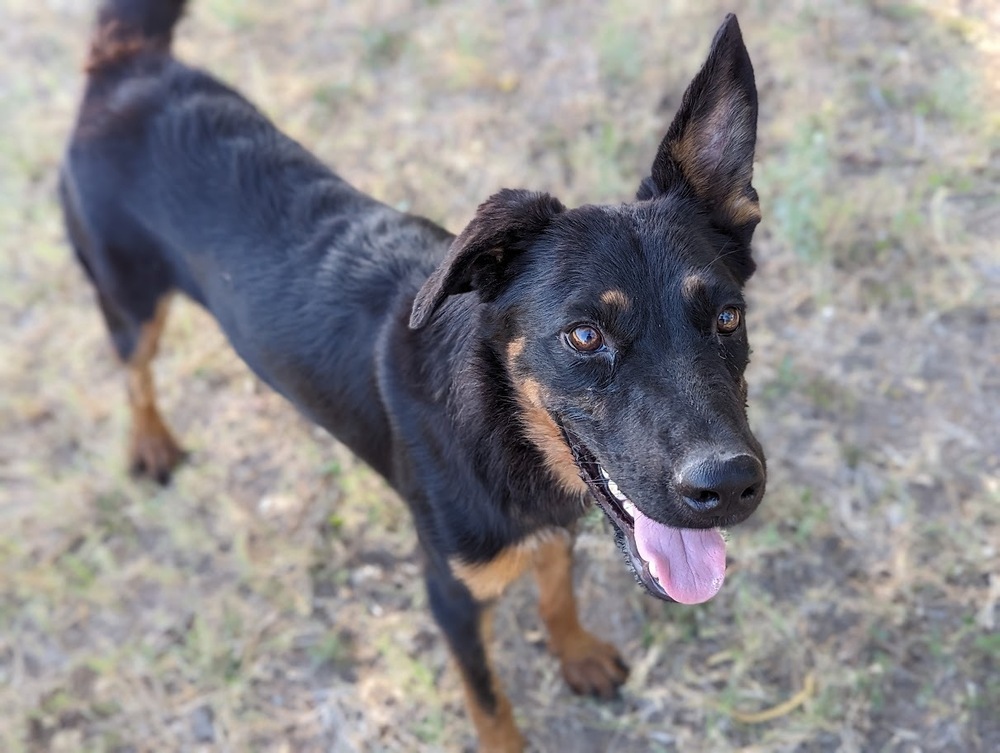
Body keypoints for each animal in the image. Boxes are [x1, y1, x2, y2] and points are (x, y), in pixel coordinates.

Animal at [60, 0, 764, 748]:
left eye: (728, 317)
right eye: (584, 335)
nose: (730, 485)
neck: (501, 426)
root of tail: (125, 62)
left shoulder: (556, 526)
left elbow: (556, 592)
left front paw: (577, 654)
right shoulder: (450, 592)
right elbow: (490, 702)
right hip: (128, 300)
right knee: (135, 375)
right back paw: (151, 442)